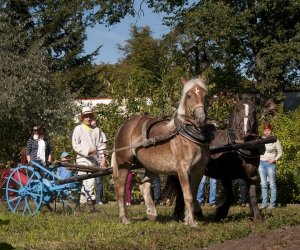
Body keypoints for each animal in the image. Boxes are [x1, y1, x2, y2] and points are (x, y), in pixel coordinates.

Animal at [111, 77, 212, 227]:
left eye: (206, 95)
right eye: (189, 96)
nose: (201, 117)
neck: (188, 135)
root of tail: (124, 125)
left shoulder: (198, 171)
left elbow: (193, 195)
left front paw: (189, 218)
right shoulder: (182, 169)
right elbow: (187, 195)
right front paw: (192, 222)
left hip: (151, 166)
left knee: (144, 186)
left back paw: (152, 213)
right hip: (125, 163)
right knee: (120, 189)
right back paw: (124, 218)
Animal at [164, 94, 264, 222]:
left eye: (254, 111)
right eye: (237, 110)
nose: (245, 131)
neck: (240, 147)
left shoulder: (251, 176)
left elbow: (252, 195)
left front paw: (257, 216)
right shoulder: (226, 176)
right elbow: (230, 196)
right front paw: (220, 213)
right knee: (180, 190)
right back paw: (181, 213)